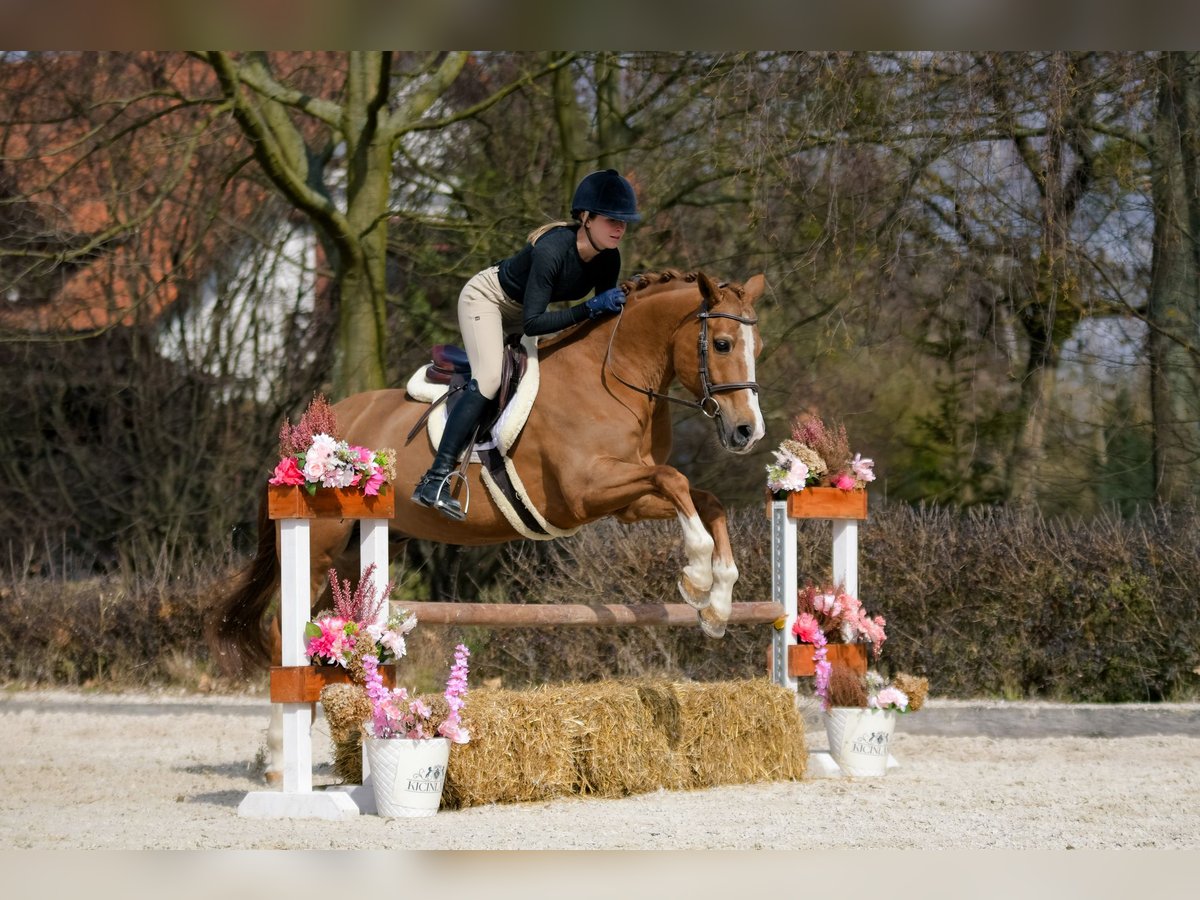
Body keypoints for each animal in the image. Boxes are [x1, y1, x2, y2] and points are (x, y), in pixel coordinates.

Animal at [212, 268, 766, 779]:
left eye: (755, 345)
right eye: (721, 343)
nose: (747, 432)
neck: (612, 375)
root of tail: (308, 431)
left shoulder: (625, 499)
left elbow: (705, 500)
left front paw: (717, 604)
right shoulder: (586, 491)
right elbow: (675, 481)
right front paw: (696, 575)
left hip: (354, 558)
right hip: (318, 548)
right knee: (286, 632)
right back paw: (280, 762)